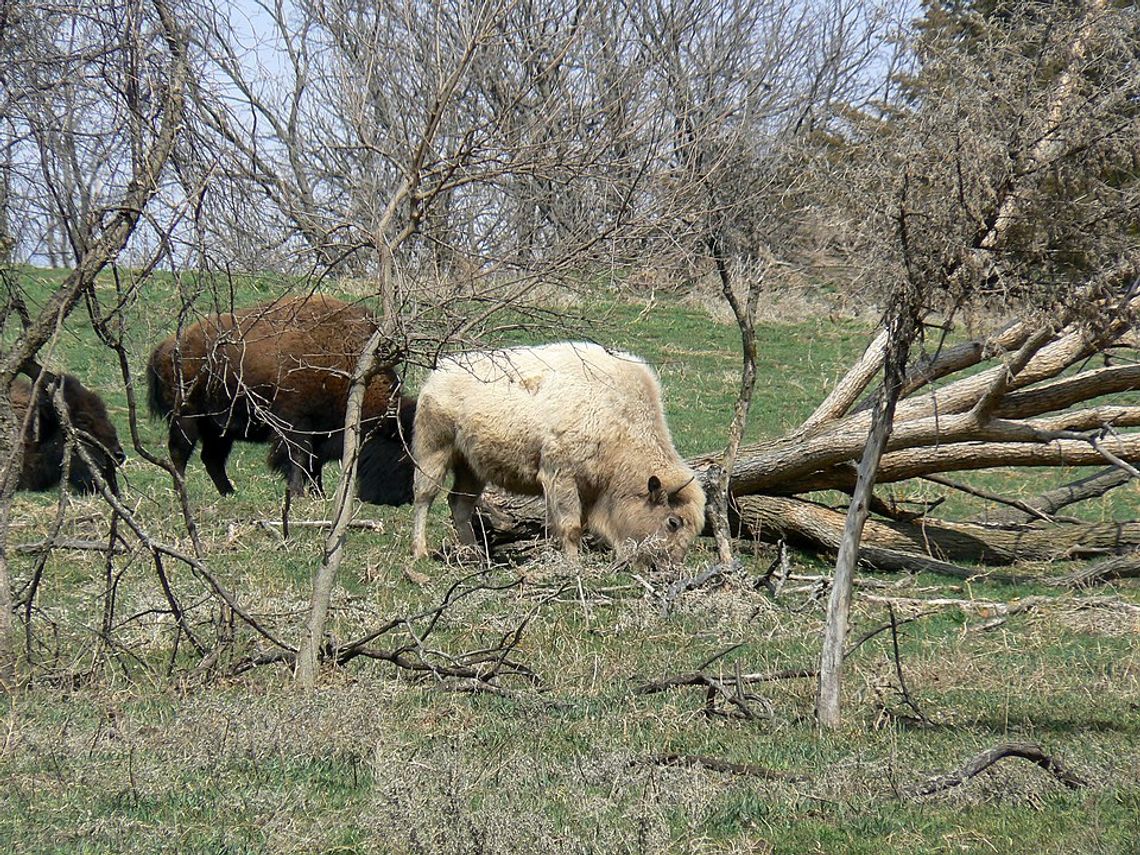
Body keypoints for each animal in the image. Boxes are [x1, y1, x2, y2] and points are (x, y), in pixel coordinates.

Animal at [147, 298, 414, 506]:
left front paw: (317, 494)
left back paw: (229, 493)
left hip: (219, 429)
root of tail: (166, 347)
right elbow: (297, 458)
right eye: (404, 454)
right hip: (187, 418)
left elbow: (313, 464)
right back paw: (181, 492)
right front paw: (297, 494)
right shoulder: (294, 425)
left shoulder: (319, 432)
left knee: (211, 459)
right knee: (180, 454)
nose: (408, 498)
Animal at [410, 344, 706, 570]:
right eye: (673, 522)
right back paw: (420, 552)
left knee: (460, 504)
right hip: (434, 452)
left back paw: (476, 556)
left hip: (472, 468)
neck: (619, 415)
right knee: (424, 497)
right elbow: (571, 526)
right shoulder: (561, 477)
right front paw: (574, 566)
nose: (670, 567)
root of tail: (437, 374)